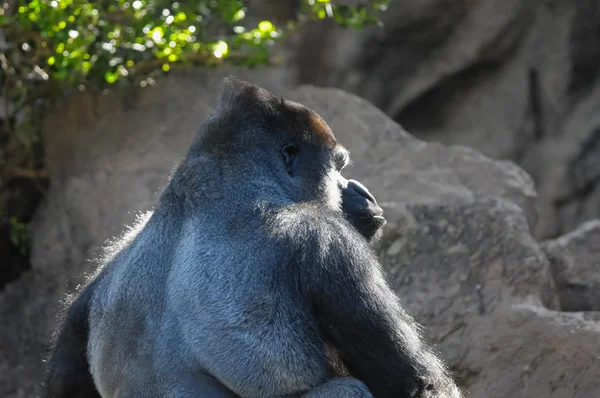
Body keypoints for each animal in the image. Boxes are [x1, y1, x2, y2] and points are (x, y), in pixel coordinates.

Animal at [43, 78, 464, 398]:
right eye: (338, 168)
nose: (363, 191)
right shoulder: (328, 242)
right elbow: (417, 384)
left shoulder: (114, 251)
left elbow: (65, 377)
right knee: (347, 390)